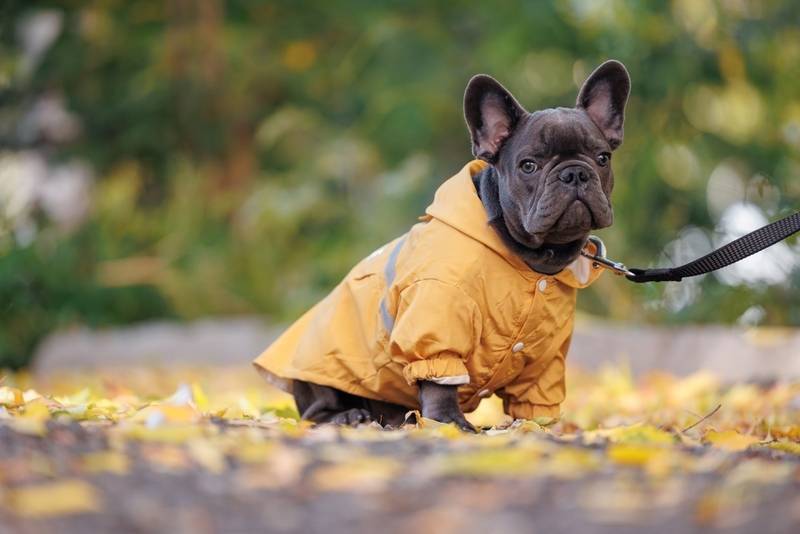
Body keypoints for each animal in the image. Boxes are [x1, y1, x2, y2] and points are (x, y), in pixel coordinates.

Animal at [253, 60, 628, 434]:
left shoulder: (546, 357)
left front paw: (539, 427)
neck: (534, 259)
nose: (574, 174)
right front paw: (448, 423)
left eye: (602, 158)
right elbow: (438, 377)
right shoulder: (437, 317)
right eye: (529, 165)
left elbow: (537, 400)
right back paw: (348, 416)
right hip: (322, 369)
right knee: (315, 408)